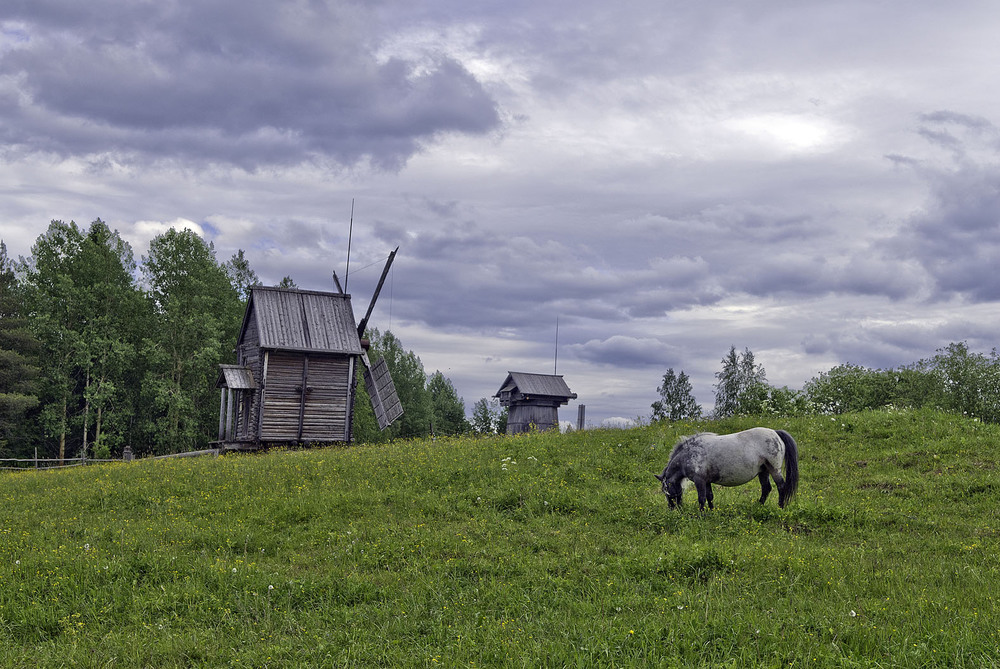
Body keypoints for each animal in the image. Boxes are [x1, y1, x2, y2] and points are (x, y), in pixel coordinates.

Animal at [656, 428, 796, 512]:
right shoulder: (707, 481)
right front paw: (711, 511)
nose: (672, 509)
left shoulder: (699, 480)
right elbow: (709, 497)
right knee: (766, 488)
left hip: (774, 470)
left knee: (781, 486)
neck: (689, 454)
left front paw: (702, 514)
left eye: (665, 491)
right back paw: (758, 506)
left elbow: (701, 498)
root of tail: (775, 433)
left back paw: (780, 507)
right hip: (763, 471)